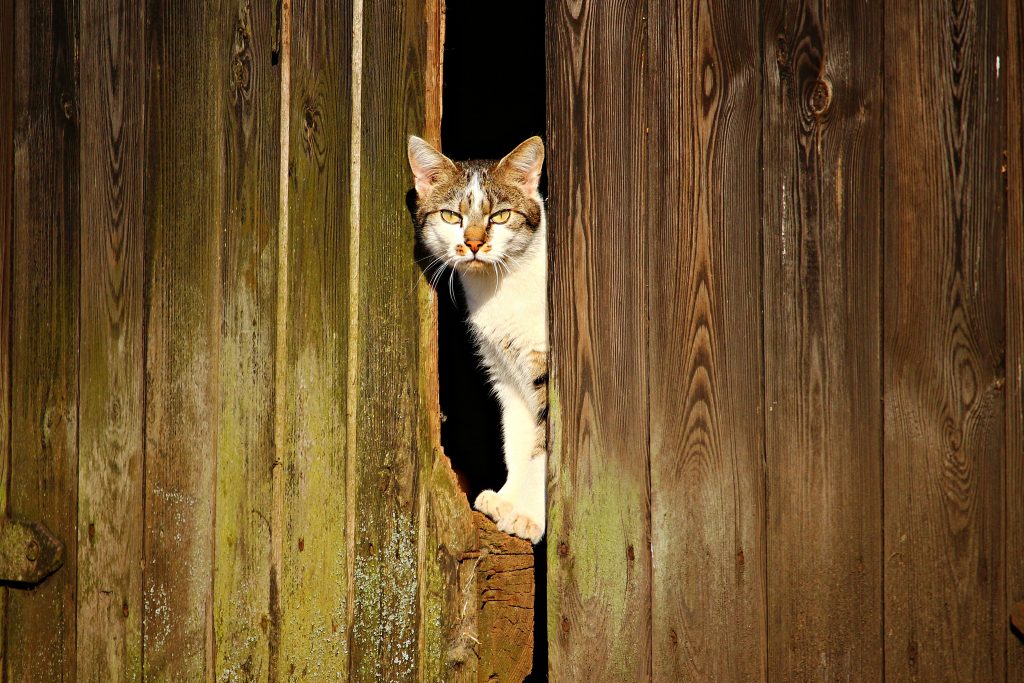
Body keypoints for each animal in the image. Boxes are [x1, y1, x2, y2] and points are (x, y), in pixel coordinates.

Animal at [409, 137, 552, 544]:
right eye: (450, 216)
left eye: (500, 217)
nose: (473, 243)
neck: (500, 287)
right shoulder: (506, 372)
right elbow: (517, 440)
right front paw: (507, 500)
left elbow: (542, 447)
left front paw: (528, 516)